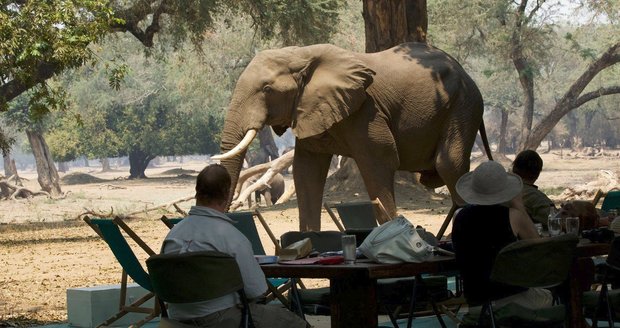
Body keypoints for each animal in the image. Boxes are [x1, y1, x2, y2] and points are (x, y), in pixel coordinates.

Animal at [213, 41, 490, 231]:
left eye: (267, 89)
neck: (301, 54)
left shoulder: (366, 109)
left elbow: (379, 161)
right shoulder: (312, 108)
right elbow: (307, 170)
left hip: (464, 104)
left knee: (449, 165)